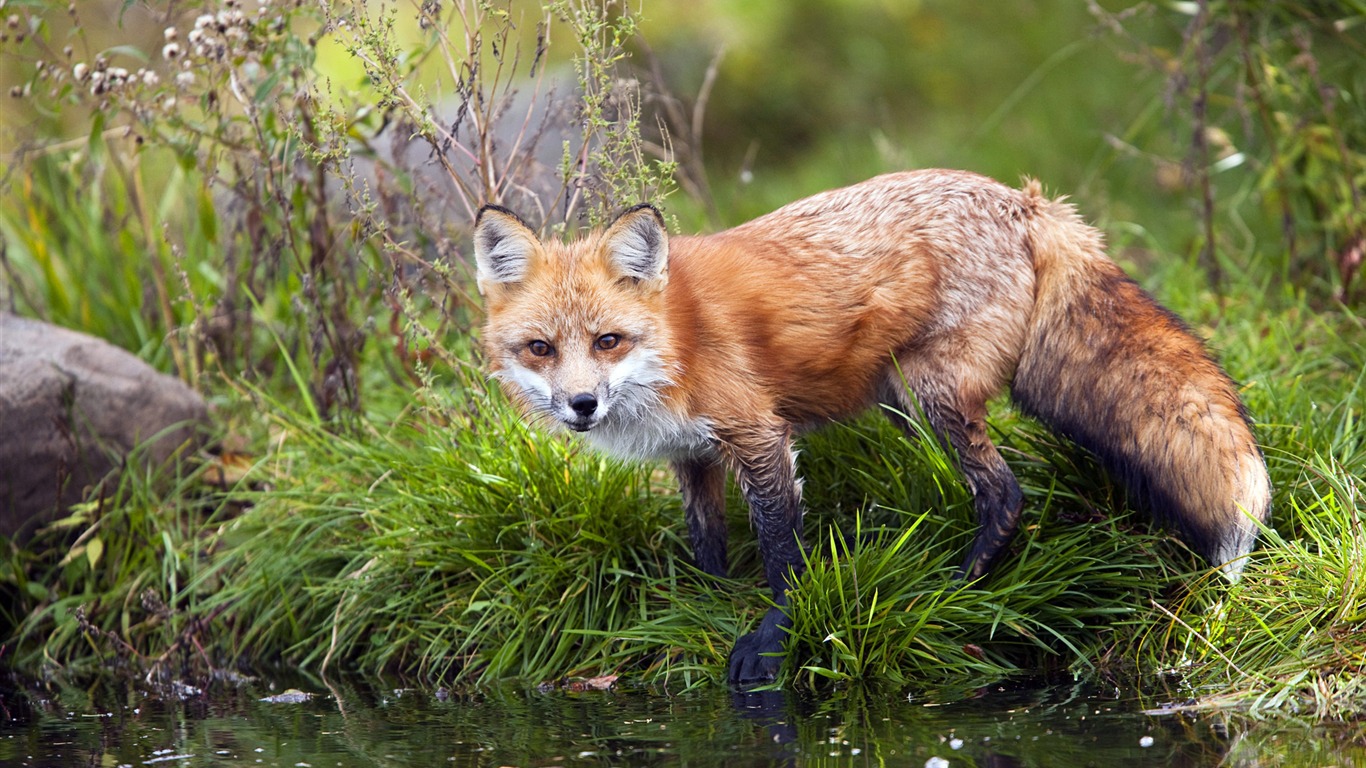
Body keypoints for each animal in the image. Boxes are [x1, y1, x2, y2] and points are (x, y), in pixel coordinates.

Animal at [472, 169, 1272, 685]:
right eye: (540, 348)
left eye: (607, 341)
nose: (581, 406)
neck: (678, 339)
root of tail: (1026, 200)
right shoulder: (691, 457)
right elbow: (708, 547)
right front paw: (706, 611)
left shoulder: (758, 435)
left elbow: (783, 555)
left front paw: (772, 641)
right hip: (907, 400)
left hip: (928, 395)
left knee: (1005, 493)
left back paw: (956, 586)